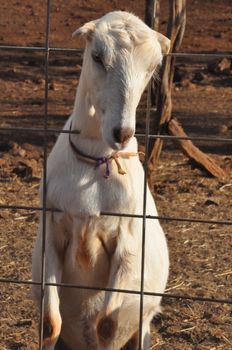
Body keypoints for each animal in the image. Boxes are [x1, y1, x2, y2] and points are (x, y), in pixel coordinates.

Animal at [32, 10, 170, 350]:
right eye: (97, 56)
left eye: (153, 66)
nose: (121, 133)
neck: (95, 163)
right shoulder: (51, 230)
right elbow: (50, 323)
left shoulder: (128, 243)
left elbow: (106, 325)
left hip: (142, 329)